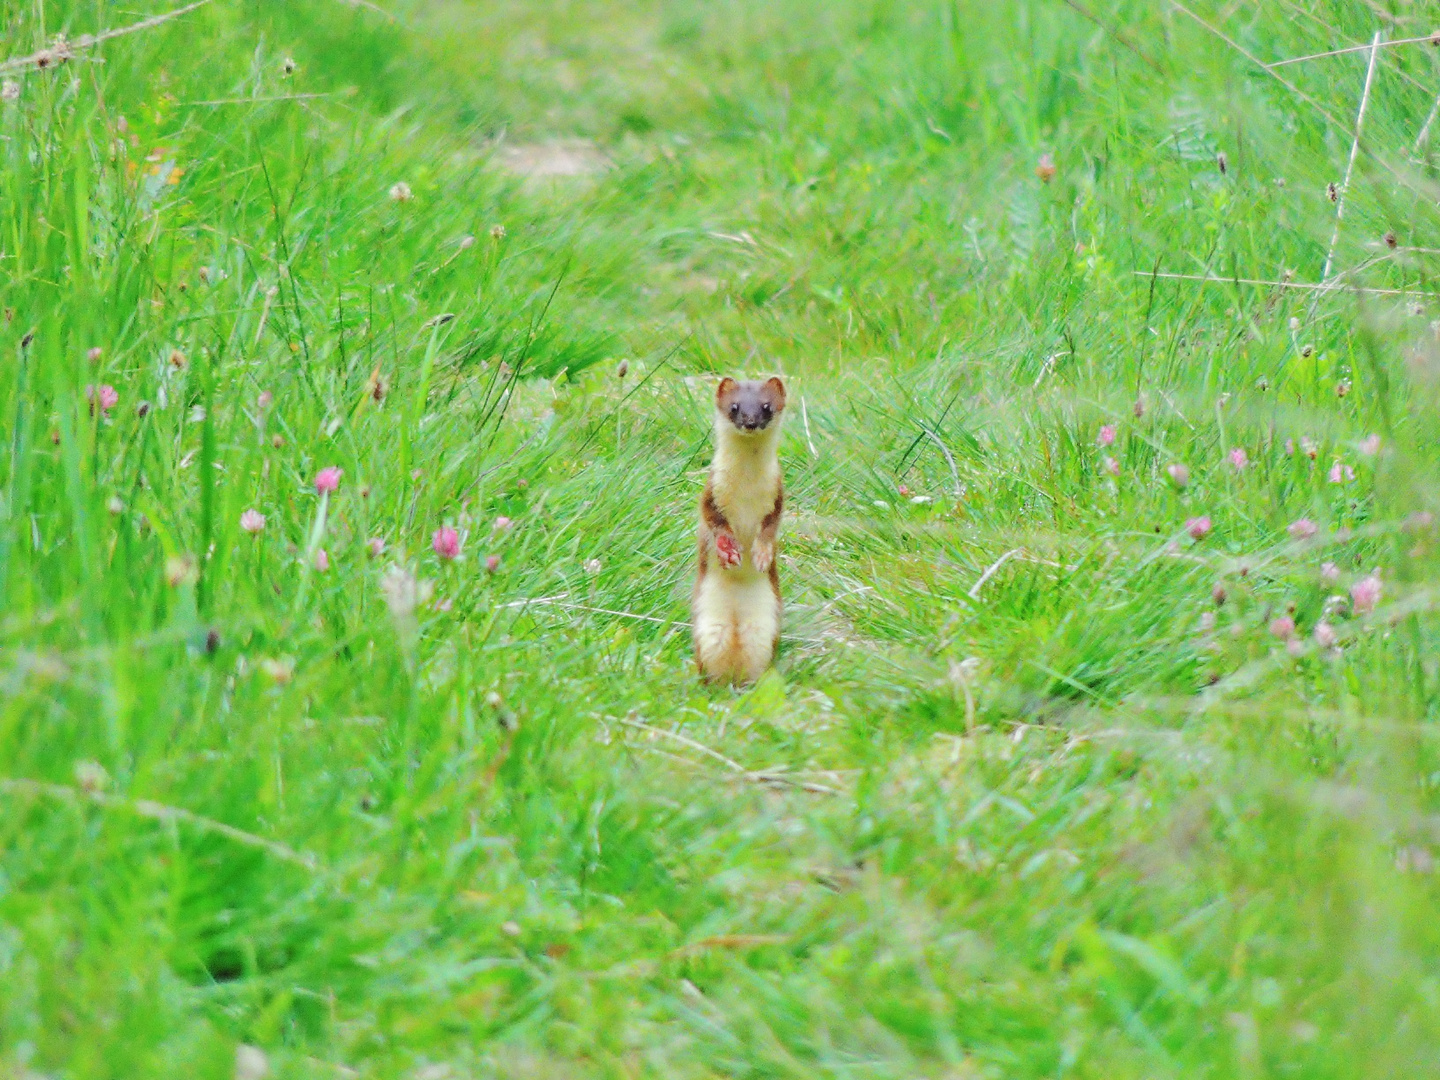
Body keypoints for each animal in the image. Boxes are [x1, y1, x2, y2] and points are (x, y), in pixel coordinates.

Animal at [688, 377, 783, 688]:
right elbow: (713, 520)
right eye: (734, 407)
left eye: (766, 406)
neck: (746, 486)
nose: (750, 422)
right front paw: (728, 549)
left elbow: (770, 527)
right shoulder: (711, 491)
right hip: (708, 628)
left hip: (764, 629)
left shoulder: (777, 494)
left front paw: (762, 554)